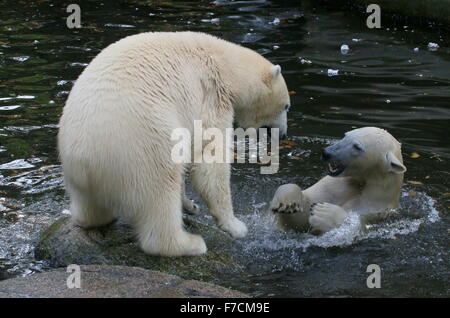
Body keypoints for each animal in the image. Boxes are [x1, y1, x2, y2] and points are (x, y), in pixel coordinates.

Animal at [58, 31, 290, 256]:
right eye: (286, 106)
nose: (283, 134)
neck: (224, 65)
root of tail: (84, 160)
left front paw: (191, 205)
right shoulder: (211, 97)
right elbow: (209, 159)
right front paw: (235, 226)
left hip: (80, 180)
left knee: (91, 209)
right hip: (141, 145)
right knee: (160, 189)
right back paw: (189, 244)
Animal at [268, 126, 406, 234]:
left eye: (357, 146)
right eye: (345, 135)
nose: (326, 153)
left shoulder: (374, 209)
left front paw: (323, 212)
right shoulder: (334, 186)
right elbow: (299, 220)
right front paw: (287, 203)